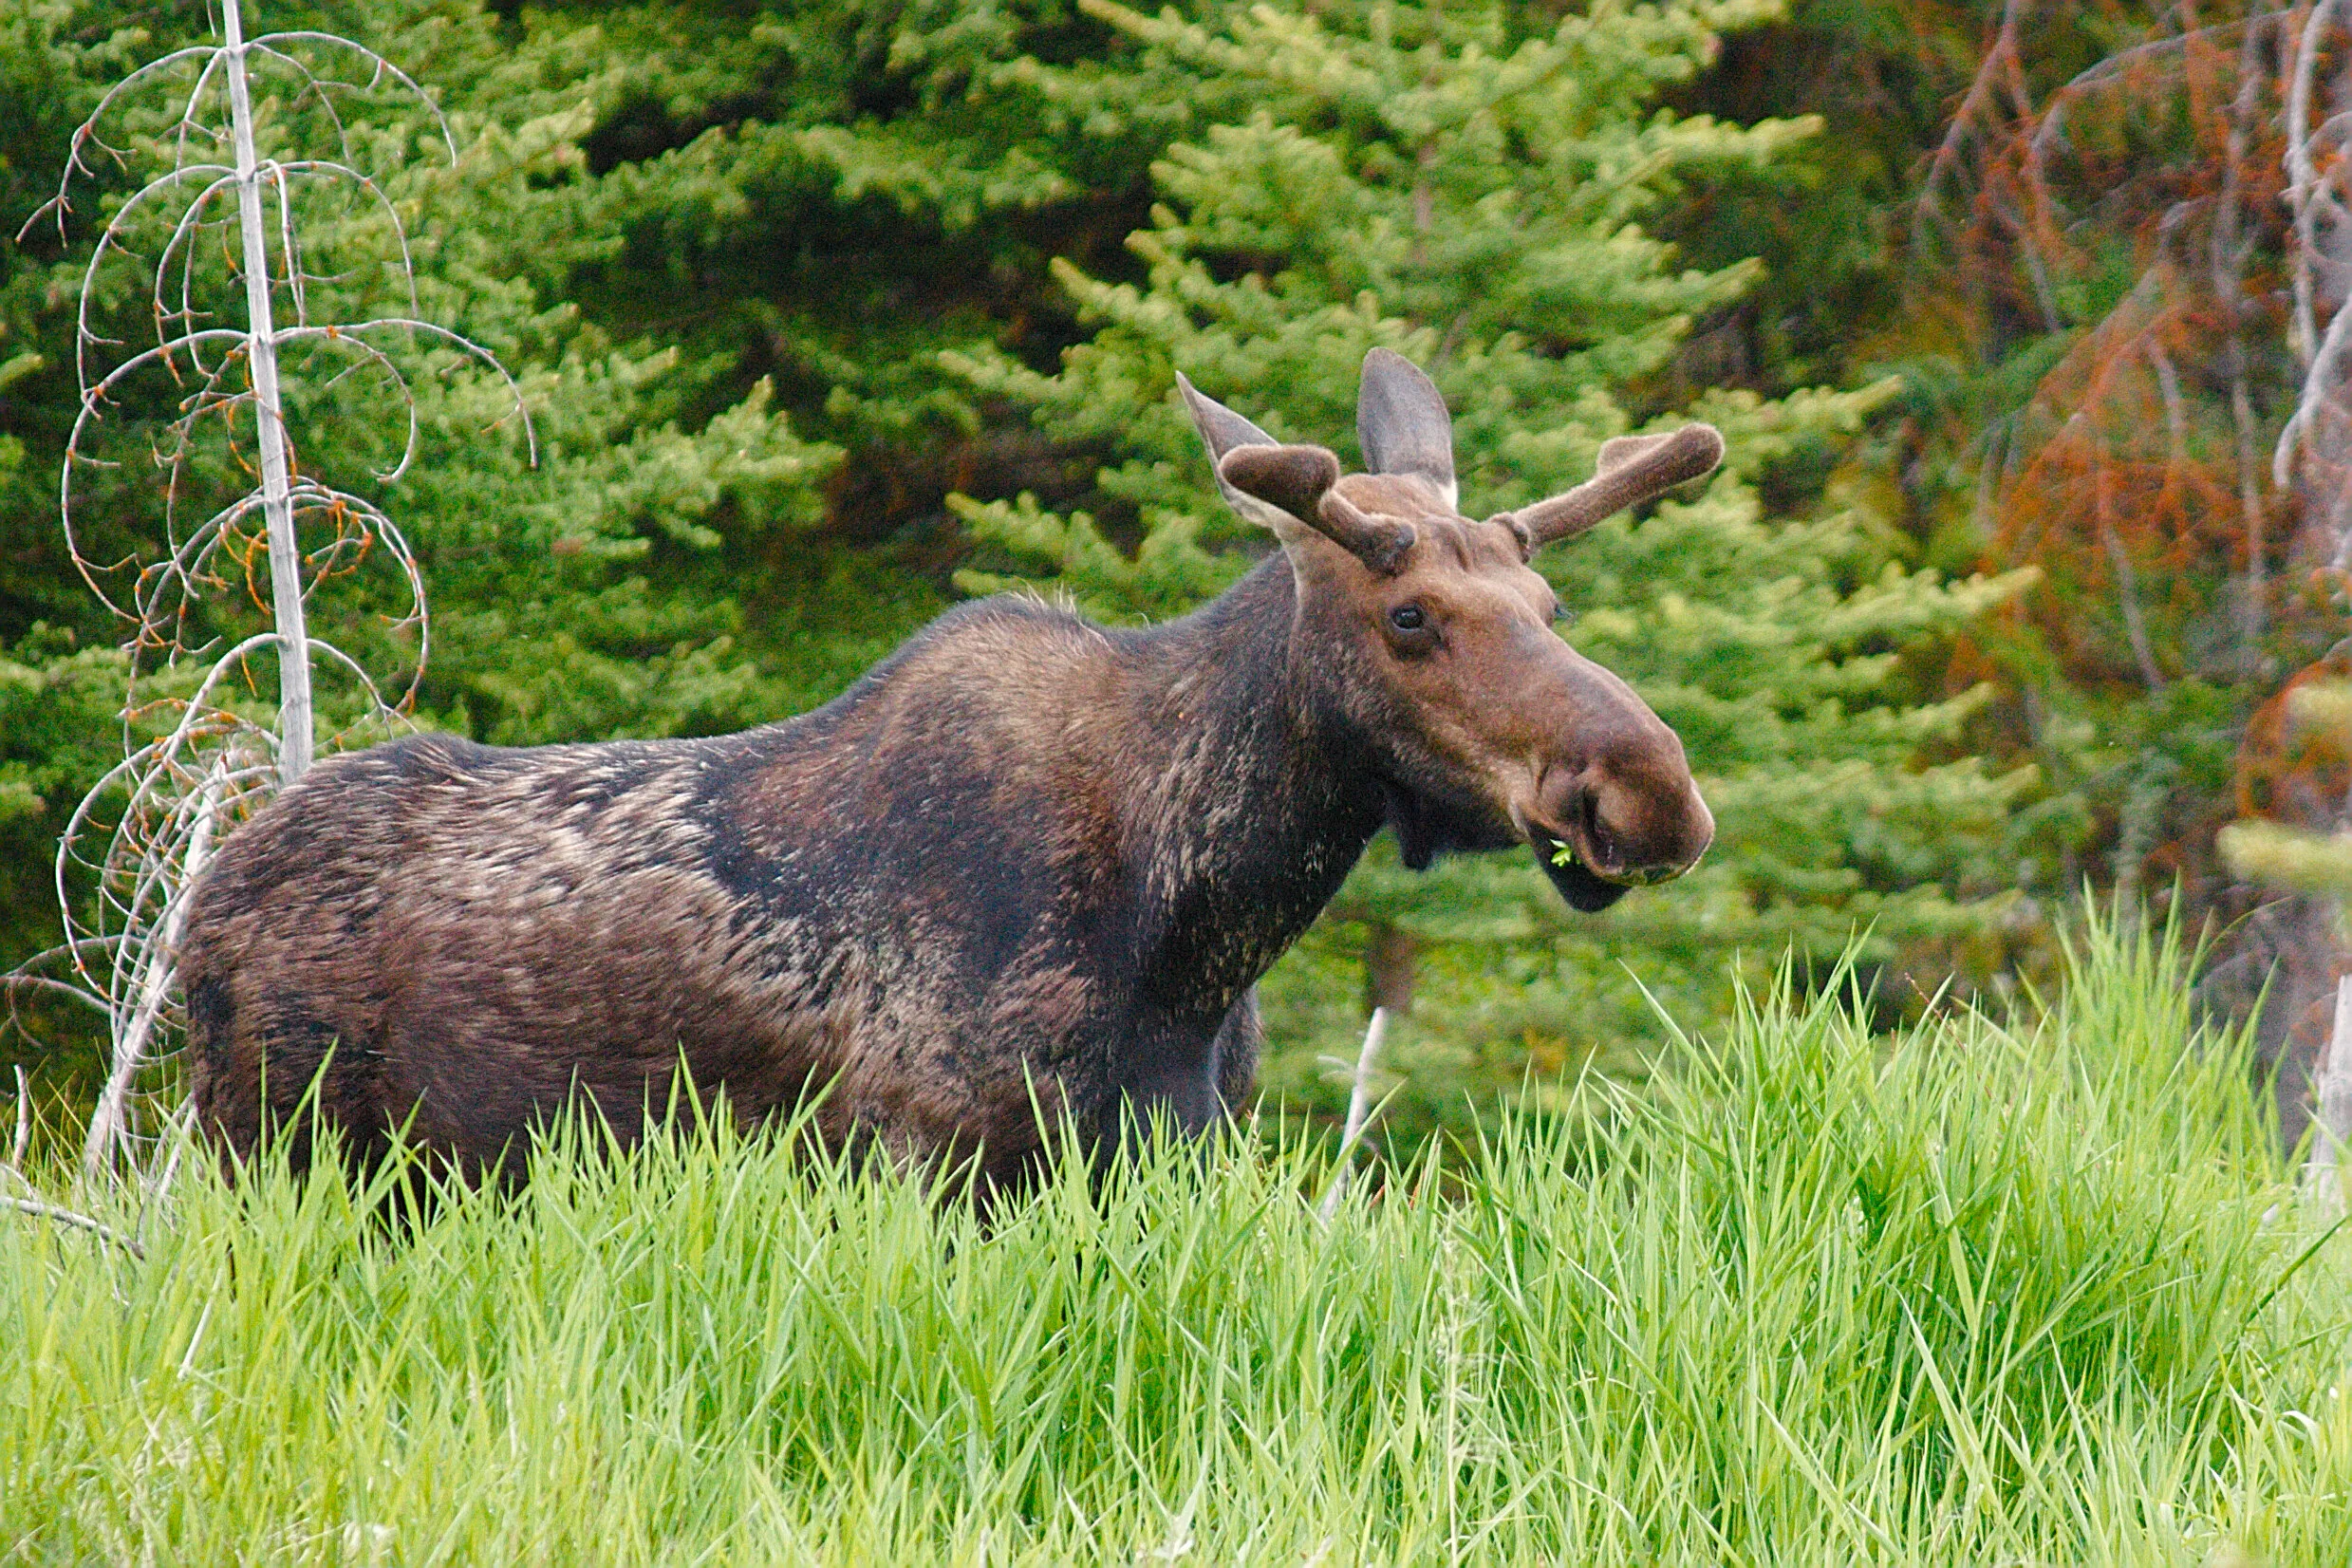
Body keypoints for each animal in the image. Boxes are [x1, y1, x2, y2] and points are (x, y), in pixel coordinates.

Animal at [179, 349, 1721, 1195]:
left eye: (1550, 607)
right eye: (1409, 618)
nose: (1650, 790)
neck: (1202, 924)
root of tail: (205, 910)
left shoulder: (1174, 1151)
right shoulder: (936, 1156)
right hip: (279, 1151)